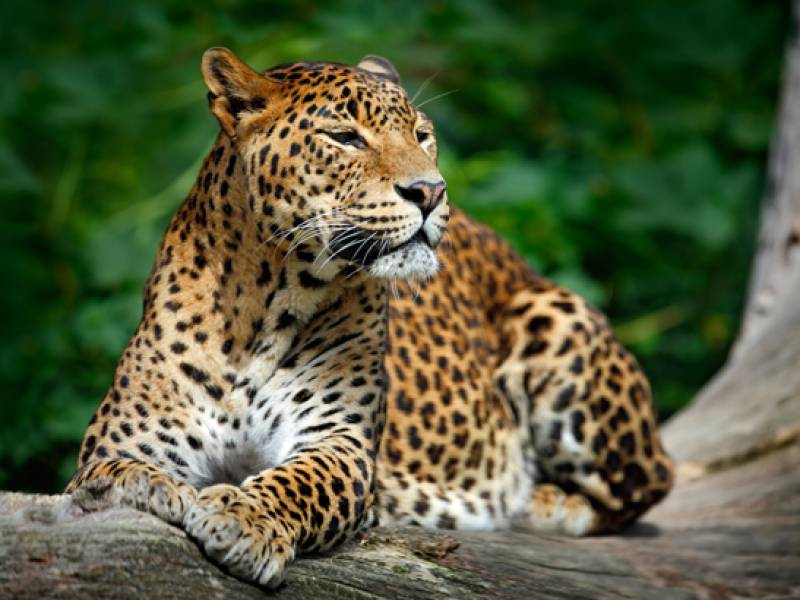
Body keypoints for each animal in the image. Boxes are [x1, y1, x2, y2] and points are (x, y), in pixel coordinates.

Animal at [66, 47, 674, 588]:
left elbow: (297, 482)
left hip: (556, 317)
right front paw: (150, 489)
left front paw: (242, 518)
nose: (430, 191)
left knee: (648, 484)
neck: (265, 305)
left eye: (422, 135)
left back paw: (540, 500)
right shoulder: (122, 441)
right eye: (345, 137)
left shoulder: (341, 442)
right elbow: (110, 474)